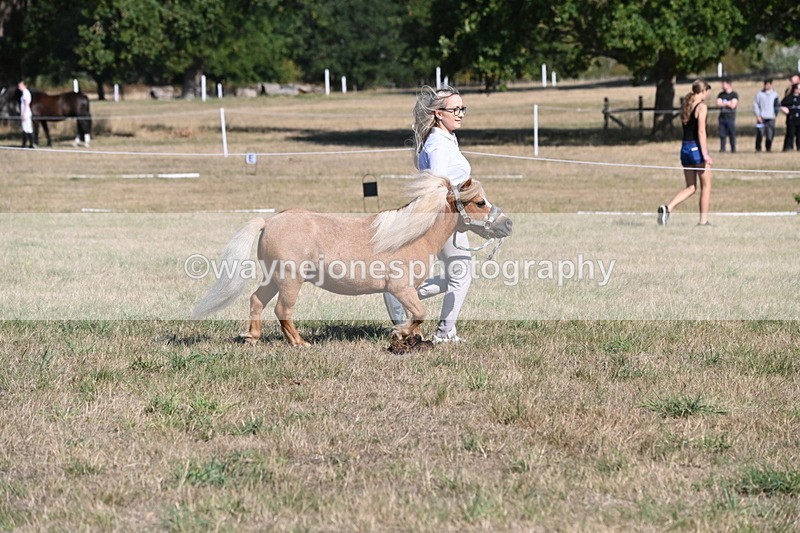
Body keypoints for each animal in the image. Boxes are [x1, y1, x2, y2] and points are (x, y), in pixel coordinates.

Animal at [192, 174, 513, 346]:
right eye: (480, 202)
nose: (508, 225)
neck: (411, 236)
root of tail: (269, 221)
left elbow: (417, 315)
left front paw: (407, 337)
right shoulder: (400, 288)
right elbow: (419, 313)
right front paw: (400, 333)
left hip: (273, 278)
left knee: (257, 300)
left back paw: (252, 337)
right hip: (289, 280)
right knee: (282, 310)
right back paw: (299, 343)